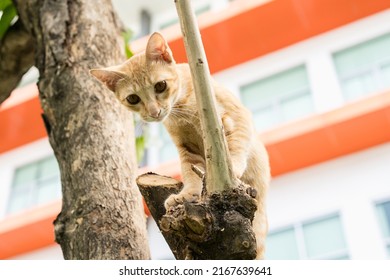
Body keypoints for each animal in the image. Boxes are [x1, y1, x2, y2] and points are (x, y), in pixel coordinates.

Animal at [90, 31, 270, 260]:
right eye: (132, 98)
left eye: (160, 86)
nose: (154, 112)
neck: (182, 108)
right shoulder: (187, 149)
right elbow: (191, 173)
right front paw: (186, 195)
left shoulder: (236, 116)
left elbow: (236, 144)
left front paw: (232, 168)